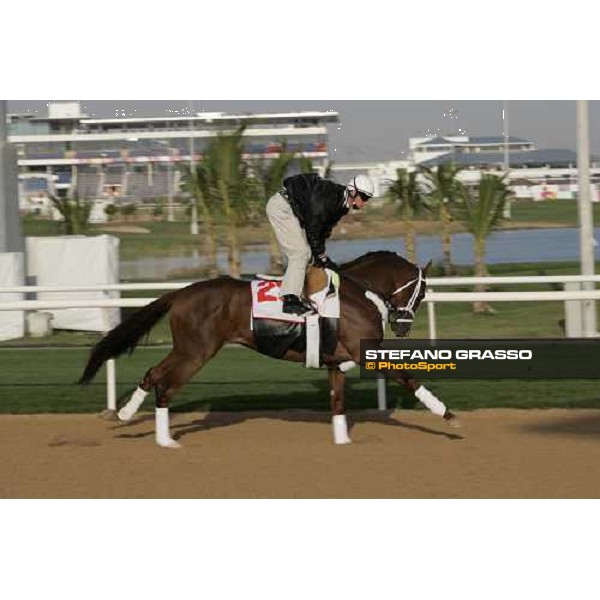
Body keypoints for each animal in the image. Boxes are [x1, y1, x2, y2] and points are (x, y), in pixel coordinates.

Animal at [77, 248, 458, 446]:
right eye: (421, 294)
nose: (403, 326)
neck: (357, 292)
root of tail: (180, 293)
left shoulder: (335, 360)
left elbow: (337, 400)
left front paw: (342, 441)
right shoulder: (366, 350)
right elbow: (408, 377)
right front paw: (448, 416)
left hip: (189, 349)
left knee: (153, 375)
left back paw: (136, 420)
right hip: (195, 351)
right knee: (162, 382)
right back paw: (156, 433)